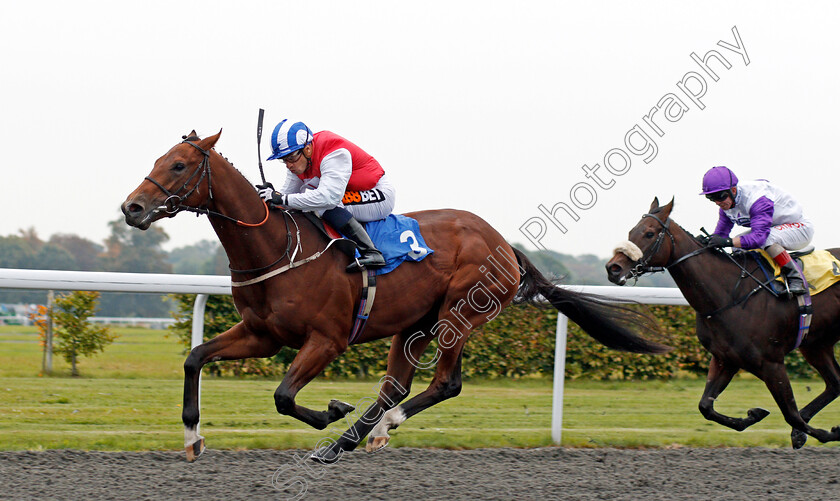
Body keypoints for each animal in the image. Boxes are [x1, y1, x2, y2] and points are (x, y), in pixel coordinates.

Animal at [120, 129, 668, 460]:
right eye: (158, 159)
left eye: (178, 166)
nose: (132, 207)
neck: (275, 247)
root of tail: (503, 244)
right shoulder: (262, 334)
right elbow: (195, 357)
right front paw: (192, 437)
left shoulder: (327, 340)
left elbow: (283, 396)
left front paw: (330, 411)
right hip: (414, 324)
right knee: (397, 386)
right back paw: (346, 441)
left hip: (458, 315)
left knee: (443, 384)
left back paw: (374, 429)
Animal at [608, 197, 840, 448]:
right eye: (631, 231)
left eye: (649, 233)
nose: (613, 268)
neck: (729, 295)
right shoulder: (725, 358)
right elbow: (705, 406)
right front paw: (754, 415)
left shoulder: (772, 363)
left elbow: (791, 414)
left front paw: (826, 434)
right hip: (816, 345)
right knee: (835, 383)